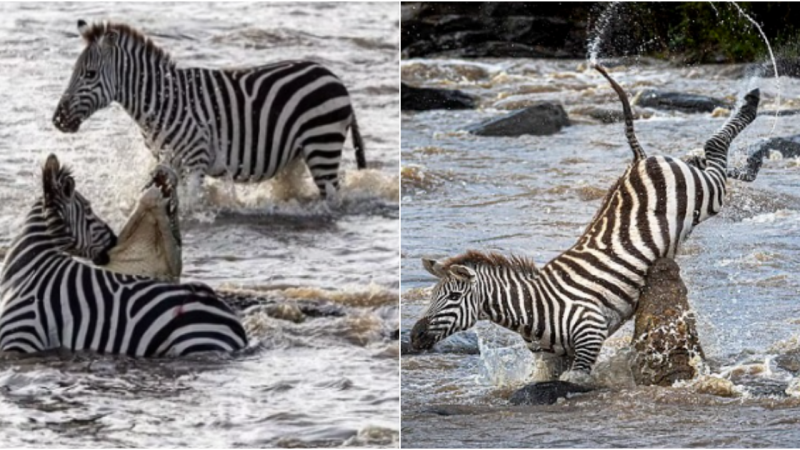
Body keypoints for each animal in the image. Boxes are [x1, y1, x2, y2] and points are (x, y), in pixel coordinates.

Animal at [0, 154, 248, 356]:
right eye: (88, 210)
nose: (113, 240)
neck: (29, 270)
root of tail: (236, 326)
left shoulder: (23, 336)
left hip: (189, 340)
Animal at [54, 20, 368, 197]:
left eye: (89, 74)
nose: (58, 120)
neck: (162, 101)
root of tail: (335, 78)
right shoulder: (168, 161)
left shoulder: (195, 161)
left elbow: (190, 205)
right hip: (297, 154)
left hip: (322, 145)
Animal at [412, 66, 764, 386]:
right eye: (432, 295)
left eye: (453, 297)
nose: (414, 336)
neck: (533, 308)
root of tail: (639, 161)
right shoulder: (552, 359)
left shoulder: (590, 333)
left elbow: (576, 381)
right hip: (692, 181)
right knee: (699, 156)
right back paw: (752, 159)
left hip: (705, 195)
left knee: (713, 149)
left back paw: (751, 103)